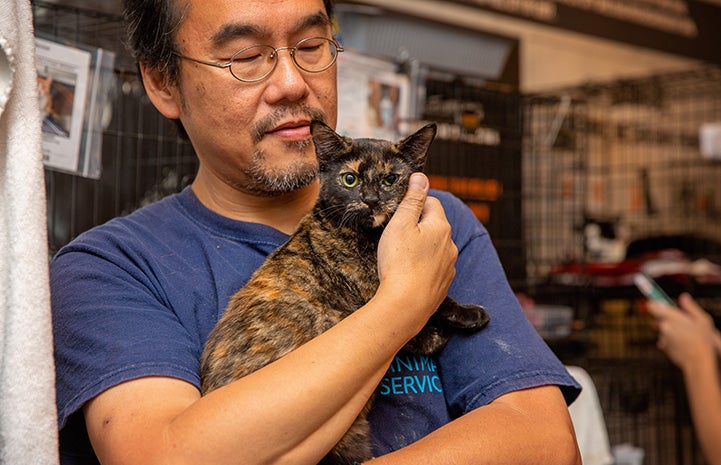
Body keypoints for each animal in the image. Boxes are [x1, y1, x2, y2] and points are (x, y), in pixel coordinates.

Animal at [200, 120, 486, 464]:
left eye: (390, 179)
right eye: (350, 179)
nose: (371, 199)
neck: (371, 238)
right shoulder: (375, 293)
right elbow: (432, 307)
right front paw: (462, 319)